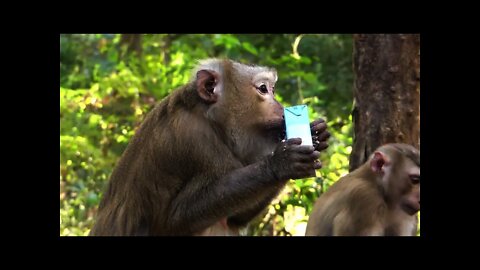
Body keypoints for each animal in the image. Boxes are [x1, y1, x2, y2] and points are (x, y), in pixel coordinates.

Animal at [89, 58, 330, 236]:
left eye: (273, 89)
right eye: (263, 89)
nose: (281, 107)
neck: (209, 117)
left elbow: (234, 218)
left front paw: (317, 134)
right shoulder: (194, 140)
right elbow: (173, 219)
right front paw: (280, 163)